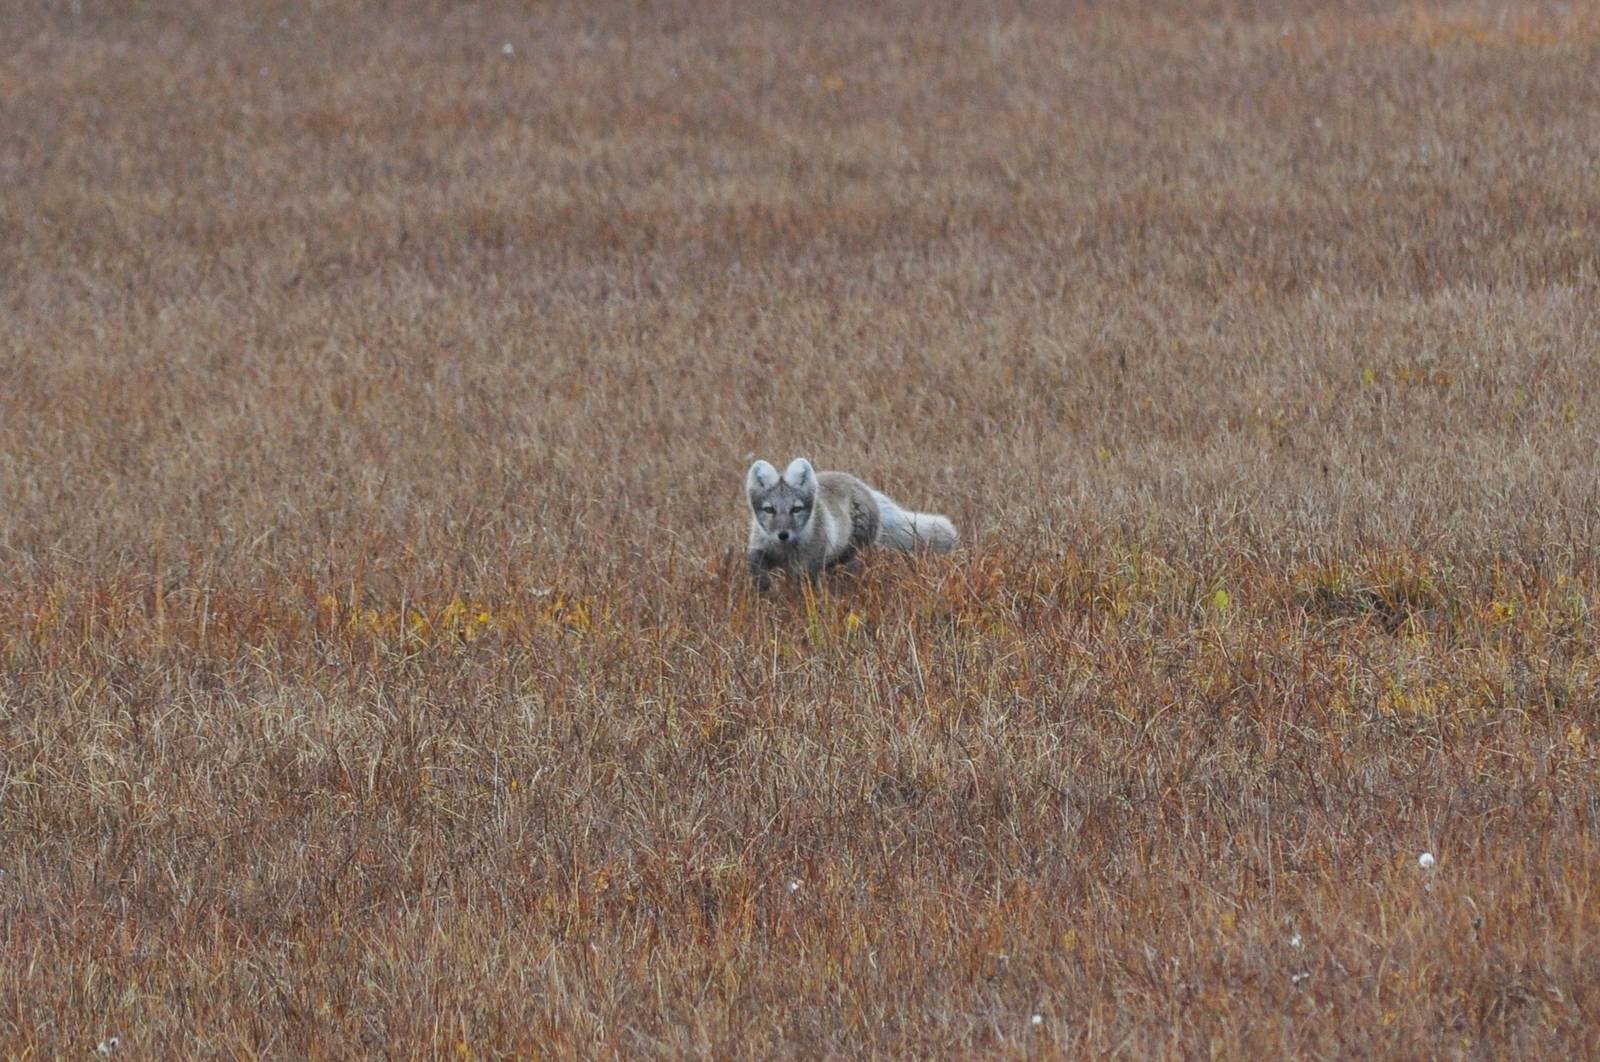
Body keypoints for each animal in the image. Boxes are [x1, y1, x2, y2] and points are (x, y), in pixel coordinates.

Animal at [744, 457, 958, 590]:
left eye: (796, 509)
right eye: (769, 509)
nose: (783, 535)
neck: (785, 551)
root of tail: (864, 487)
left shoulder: (806, 567)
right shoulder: (759, 546)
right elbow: (754, 562)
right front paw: (763, 586)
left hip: (850, 551)